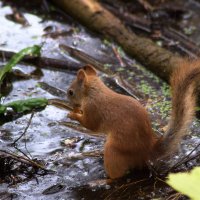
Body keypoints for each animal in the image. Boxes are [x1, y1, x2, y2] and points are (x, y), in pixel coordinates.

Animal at [67, 60, 200, 179]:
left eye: (71, 92)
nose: (70, 102)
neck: (94, 92)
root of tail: (147, 151)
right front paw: (76, 111)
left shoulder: (92, 108)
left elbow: (91, 125)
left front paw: (73, 114)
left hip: (114, 149)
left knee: (117, 175)